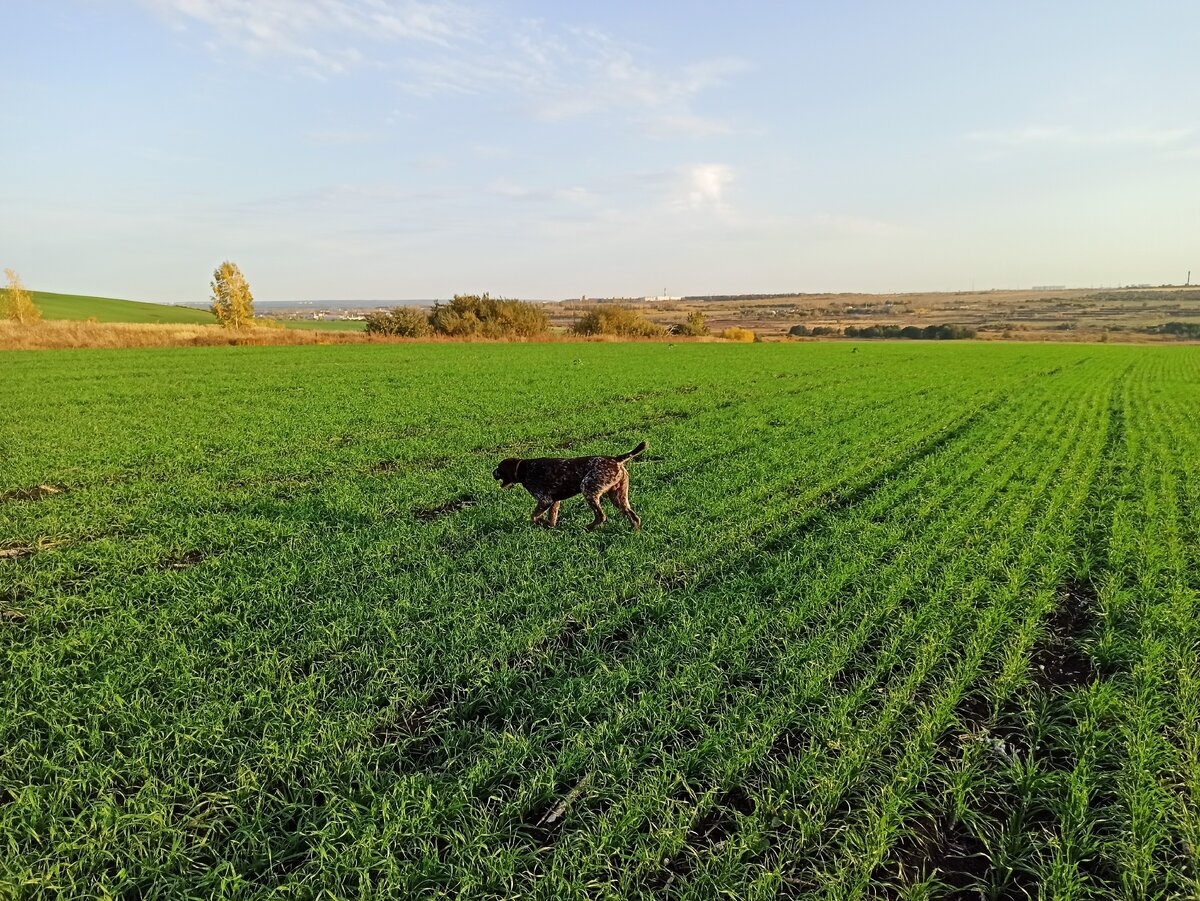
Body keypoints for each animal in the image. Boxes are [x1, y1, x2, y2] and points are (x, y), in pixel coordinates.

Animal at [494, 441, 652, 527]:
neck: (524, 469)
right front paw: (549, 526)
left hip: (588, 488)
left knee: (601, 516)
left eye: (499, 468)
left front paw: (542, 523)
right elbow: (552, 519)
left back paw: (588, 528)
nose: (492, 473)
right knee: (634, 517)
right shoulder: (554, 501)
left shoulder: (545, 500)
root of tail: (615, 459)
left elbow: (534, 517)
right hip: (618, 496)